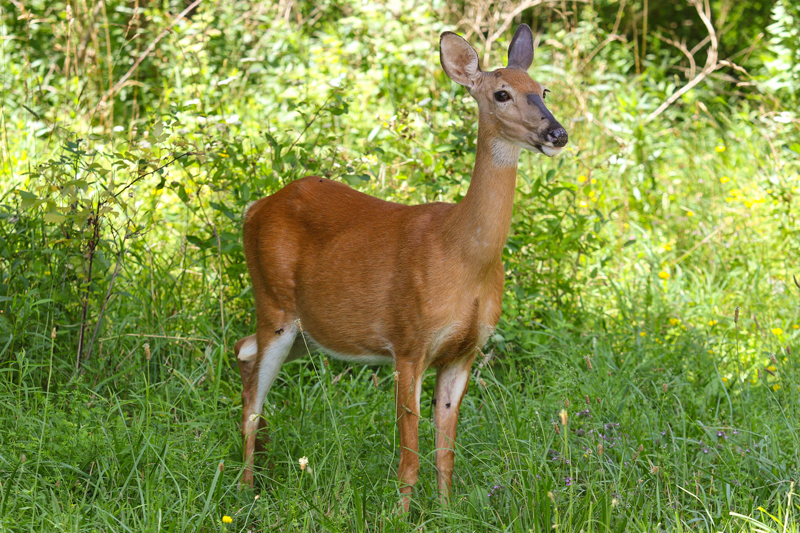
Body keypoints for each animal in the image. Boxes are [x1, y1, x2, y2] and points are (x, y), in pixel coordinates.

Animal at [233, 24, 568, 510]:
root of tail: (255, 208)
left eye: (543, 90)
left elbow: (446, 451)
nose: (557, 133)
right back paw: (246, 490)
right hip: (274, 303)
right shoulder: (408, 342)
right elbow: (409, 454)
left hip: (308, 332)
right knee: (253, 397)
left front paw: (447, 511)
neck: (463, 257)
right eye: (502, 93)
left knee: (243, 353)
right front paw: (401, 515)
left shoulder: (464, 352)